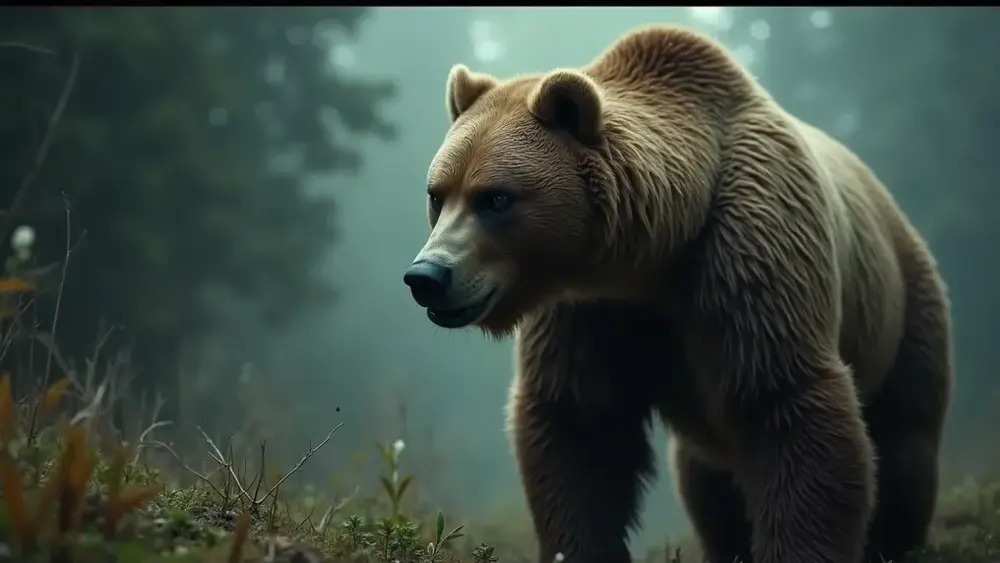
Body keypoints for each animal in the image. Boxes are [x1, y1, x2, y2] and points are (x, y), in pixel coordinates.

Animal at [402, 24, 953, 563]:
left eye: (496, 198)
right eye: (437, 194)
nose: (428, 275)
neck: (655, 256)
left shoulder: (748, 255)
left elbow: (784, 400)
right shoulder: (589, 309)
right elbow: (579, 428)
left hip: (902, 308)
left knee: (903, 444)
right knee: (708, 485)